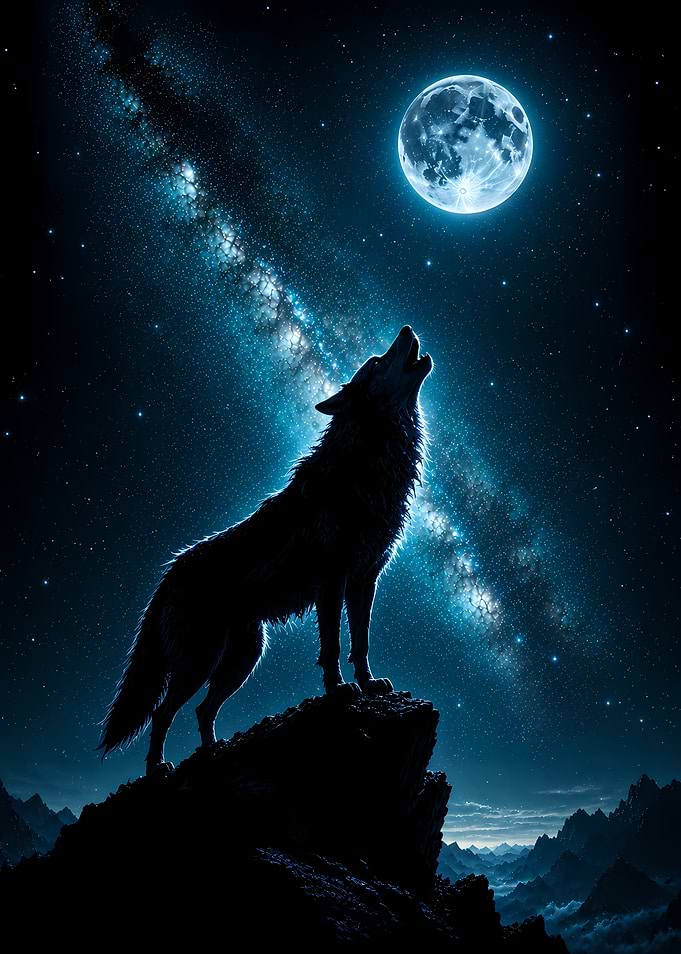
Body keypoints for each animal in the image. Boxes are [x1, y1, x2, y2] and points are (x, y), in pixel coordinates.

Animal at [95, 326, 432, 775]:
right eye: (378, 361)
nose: (407, 329)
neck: (368, 461)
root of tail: (170, 571)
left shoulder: (365, 580)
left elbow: (360, 644)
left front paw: (368, 684)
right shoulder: (333, 580)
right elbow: (332, 647)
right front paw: (339, 691)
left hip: (243, 658)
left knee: (202, 710)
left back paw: (212, 751)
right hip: (201, 661)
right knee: (162, 713)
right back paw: (156, 769)